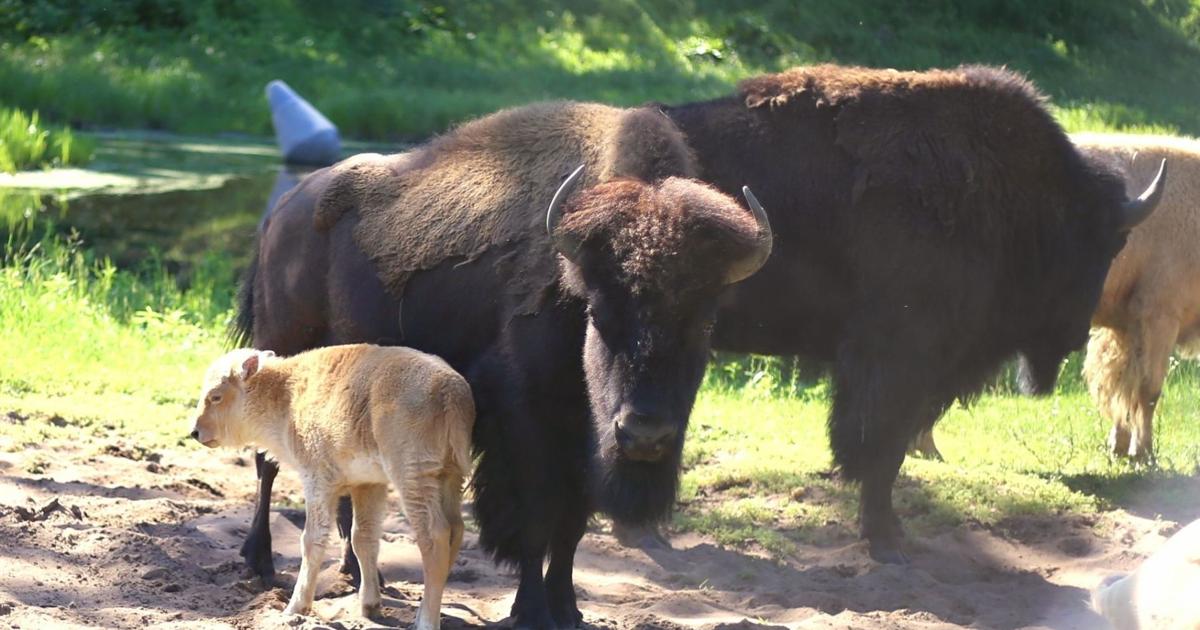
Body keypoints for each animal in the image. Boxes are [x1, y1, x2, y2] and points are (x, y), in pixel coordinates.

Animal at [232, 101, 773, 628]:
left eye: (705, 324)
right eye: (598, 313)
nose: (644, 434)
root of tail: (281, 213)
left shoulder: (582, 439)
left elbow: (571, 525)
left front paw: (568, 609)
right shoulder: (523, 428)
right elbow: (533, 519)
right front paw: (530, 609)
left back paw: (361, 573)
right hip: (279, 353)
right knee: (266, 464)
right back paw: (260, 563)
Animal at [655, 64, 1165, 563]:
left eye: (1116, 244)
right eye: (1103, 243)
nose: (1076, 334)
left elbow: (893, 450)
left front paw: (892, 534)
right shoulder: (894, 364)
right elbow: (879, 448)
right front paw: (885, 541)